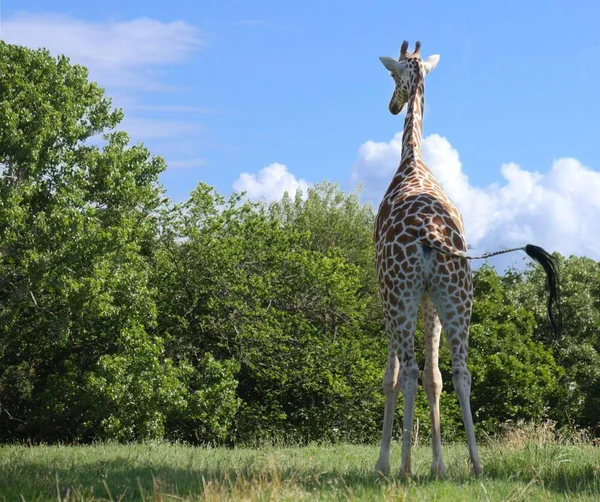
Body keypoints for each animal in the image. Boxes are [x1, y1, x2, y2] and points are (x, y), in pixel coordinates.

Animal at [372, 40, 560, 478]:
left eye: (391, 74)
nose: (391, 106)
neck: (412, 162)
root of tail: (429, 236)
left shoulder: (387, 295)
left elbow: (392, 376)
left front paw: (384, 463)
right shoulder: (431, 300)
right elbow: (436, 378)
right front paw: (439, 466)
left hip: (402, 296)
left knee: (408, 370)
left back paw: (404, 469)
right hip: (458, 297)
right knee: (460, 371)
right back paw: (475, 465)